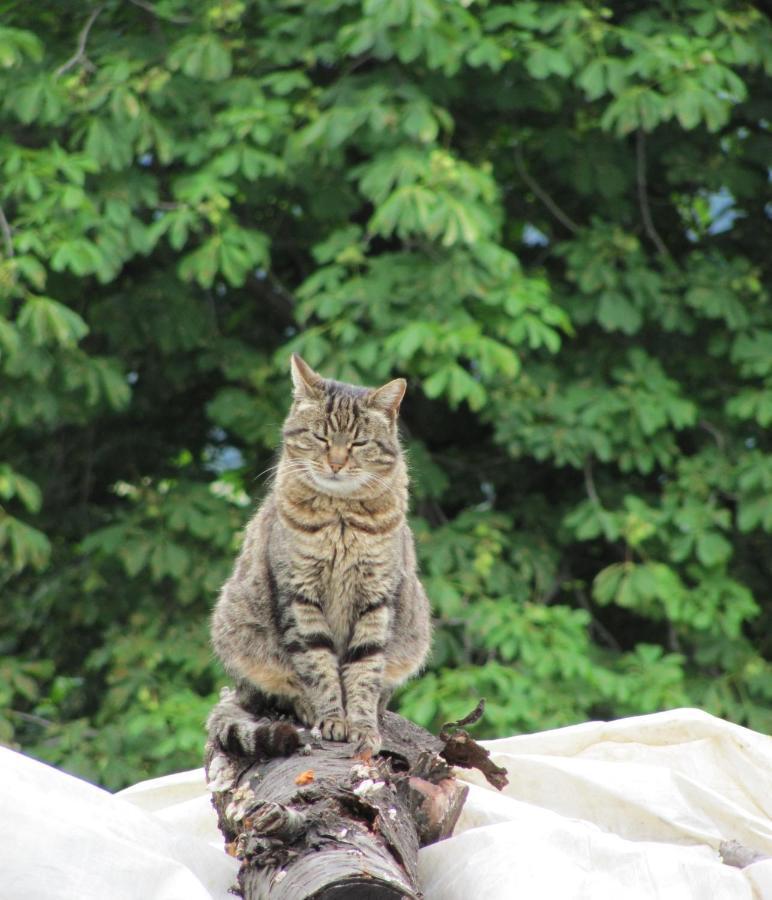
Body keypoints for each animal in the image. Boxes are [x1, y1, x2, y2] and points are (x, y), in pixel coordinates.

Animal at [208, 356, 432, 756]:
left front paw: (361, 725)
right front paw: (332, 719)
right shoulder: (300, 596)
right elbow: (318, 665)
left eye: (358, 442)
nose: (337, 463)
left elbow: (365, 669)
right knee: (278, 690)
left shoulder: (376, 598)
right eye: (320, 437)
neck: (340, 516)